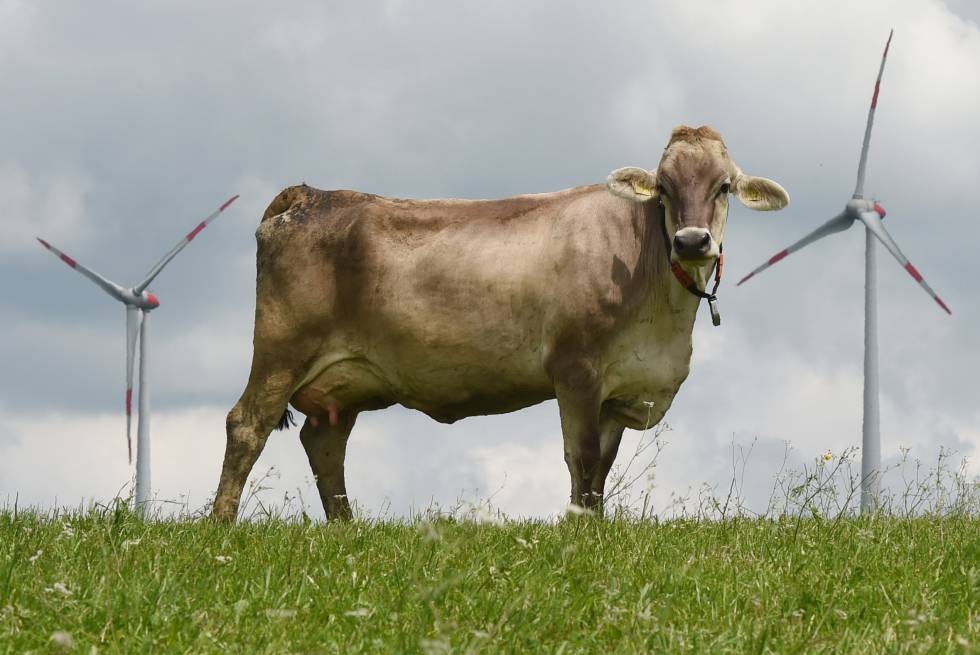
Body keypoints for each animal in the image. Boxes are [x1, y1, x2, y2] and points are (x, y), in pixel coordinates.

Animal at [212, 125, 788, 520]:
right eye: (664, 188)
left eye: (724, 187)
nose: (691, 242)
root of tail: (311, 194)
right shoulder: (575, 371)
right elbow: (580, 459)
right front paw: (578, 529)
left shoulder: (621, 389)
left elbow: (601, 469)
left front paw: (594, 526)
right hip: (281, 351)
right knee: (247, 425)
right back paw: (221, 526)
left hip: (343, 380)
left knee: (325, 443)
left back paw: (346, 527)